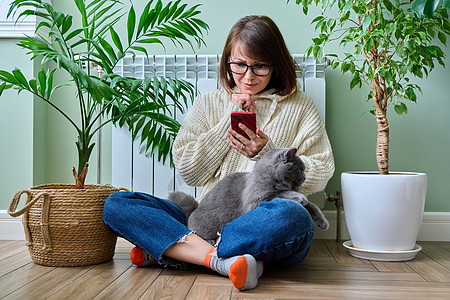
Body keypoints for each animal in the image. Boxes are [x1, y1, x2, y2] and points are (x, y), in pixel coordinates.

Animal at [168, 146, 326, 240]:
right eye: (300, 169)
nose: (305, 177)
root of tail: (195, 207)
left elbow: (312, 206)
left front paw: (323, 222)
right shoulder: (257, 200)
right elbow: (281, 194)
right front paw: (300, 197)